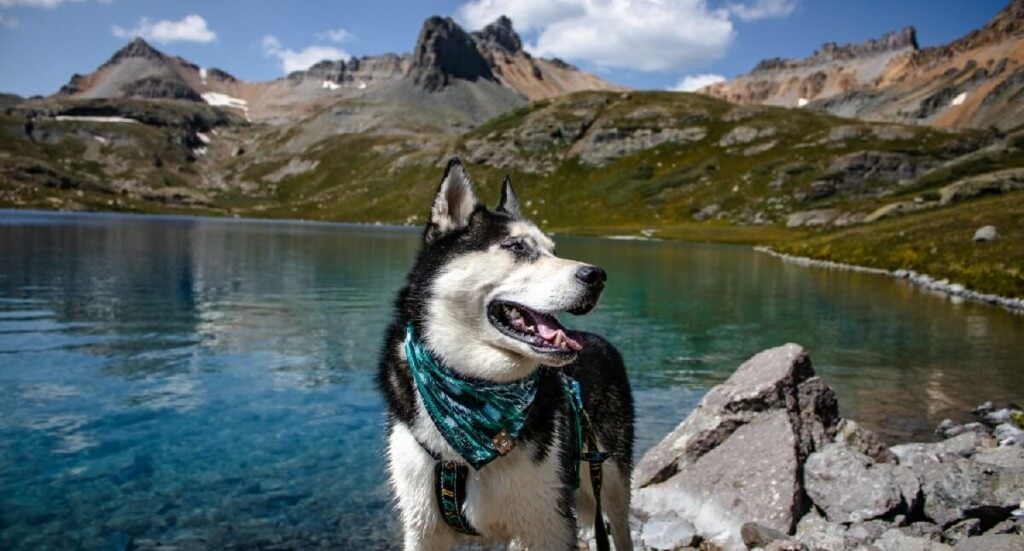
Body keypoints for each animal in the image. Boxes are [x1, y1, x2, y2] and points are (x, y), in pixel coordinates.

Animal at [378, 158, 630, 548]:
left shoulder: (548, 522)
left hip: (612, 483)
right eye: (517, 247)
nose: (598, 276)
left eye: (553, 249)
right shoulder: (423, 526)